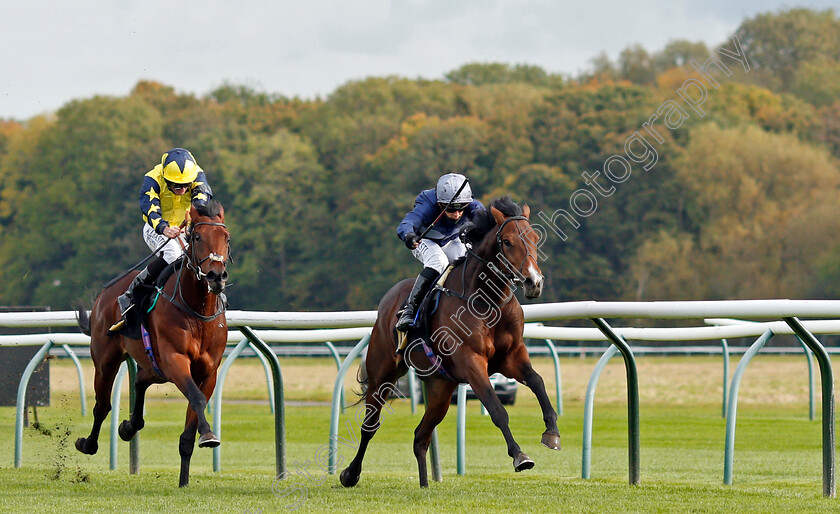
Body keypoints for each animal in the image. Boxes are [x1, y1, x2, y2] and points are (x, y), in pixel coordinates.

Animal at [75, 199, 230, 484]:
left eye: (226, 237)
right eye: (197, 237)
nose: (216, 276)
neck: (196, 311)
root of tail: (103, 295)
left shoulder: (209, 371)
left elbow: (190, 428)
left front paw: (184, 480)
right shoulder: (175, 361)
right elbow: (197, 398)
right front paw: (208, 435)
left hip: (153, 366)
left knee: (139, 380)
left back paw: (128, 427)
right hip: (105, 360)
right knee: (102, 406)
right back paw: (88, 443)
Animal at [338, 197, 560, 488]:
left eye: (534, 238)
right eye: (508, 241)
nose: (534, 282)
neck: (487, 300)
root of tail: (388, 300)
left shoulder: (512, 356)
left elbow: (538, 382)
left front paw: (552, 432)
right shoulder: (471, 361)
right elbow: (496, 407)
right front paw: (519, 456)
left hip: (440, 388)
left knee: (420, 436)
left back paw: (424, 484)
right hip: (382, 373)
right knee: (370, 426)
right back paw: (350, 474)